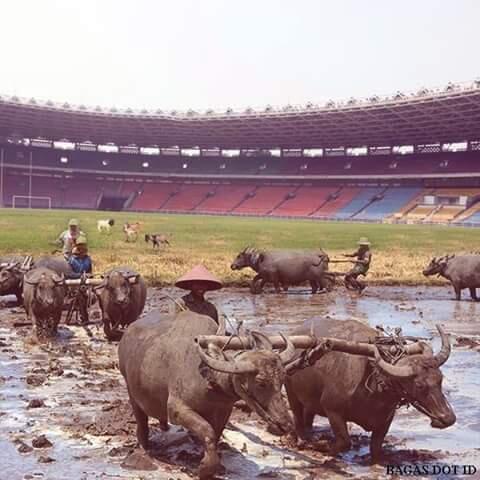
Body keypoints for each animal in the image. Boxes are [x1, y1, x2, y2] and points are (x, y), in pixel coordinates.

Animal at [118, 312, 294, 476]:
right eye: (261, 383)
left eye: (282, 378)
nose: (285, 425)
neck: (208, 378)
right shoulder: (177, 409)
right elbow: (207, 431)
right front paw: (205, 468)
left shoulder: (224, 410)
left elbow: (216, 433)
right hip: (130, 390)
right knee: (141, 420)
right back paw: (143, 447)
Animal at [284, 318, 458, 462]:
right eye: (419, 385)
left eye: (440, 379)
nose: (447, 418)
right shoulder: (332, 410)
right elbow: (345, 442)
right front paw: (323, 447)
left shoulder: (386, 419)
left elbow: (376, 446)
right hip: (291, 392)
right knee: (297, 417)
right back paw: (302, 439)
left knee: (308, 415)